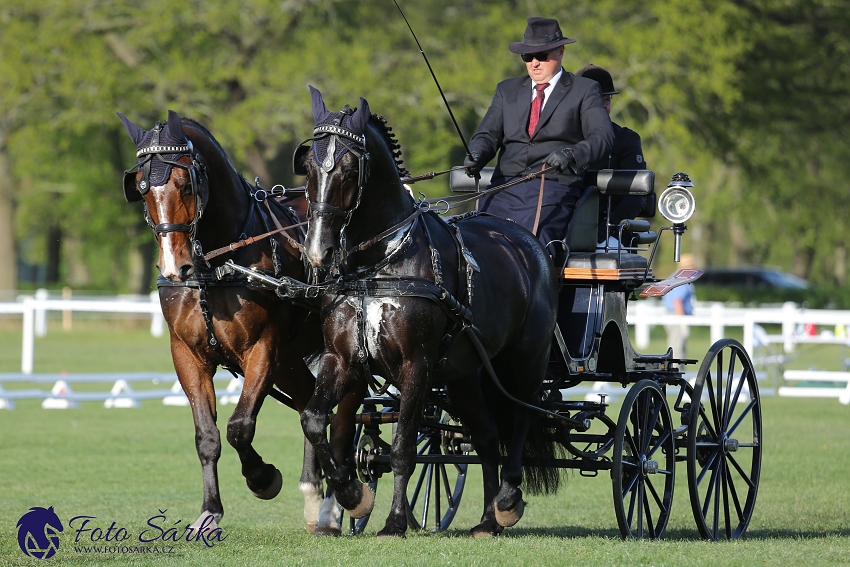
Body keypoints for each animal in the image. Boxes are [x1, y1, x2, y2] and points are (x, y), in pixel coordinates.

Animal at [118, 112, 352, 536]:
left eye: (185, 183)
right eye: (142, 189)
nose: (175, 267)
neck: (215, 267)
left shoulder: (262, 350)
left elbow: (240, 426)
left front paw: (263, 478)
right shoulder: (187, 356)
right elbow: (207, 437)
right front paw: (210, 511)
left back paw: (334, 502)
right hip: (291, 361)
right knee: (310, 403)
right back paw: (313, 494)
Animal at [294, 87, 560, 536]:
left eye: (349, 170)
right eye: (310, 166)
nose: (318, 252)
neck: (378, 266)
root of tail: (529, 243)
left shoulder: (415, 364)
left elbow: (404, 446)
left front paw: (395, 522)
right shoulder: (342, 359)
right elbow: (315, 420)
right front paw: (352, 495)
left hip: (525, 361)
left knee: (521, 418)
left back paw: (507, 500)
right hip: (463, 376)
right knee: (487, 436)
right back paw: (487, 520)